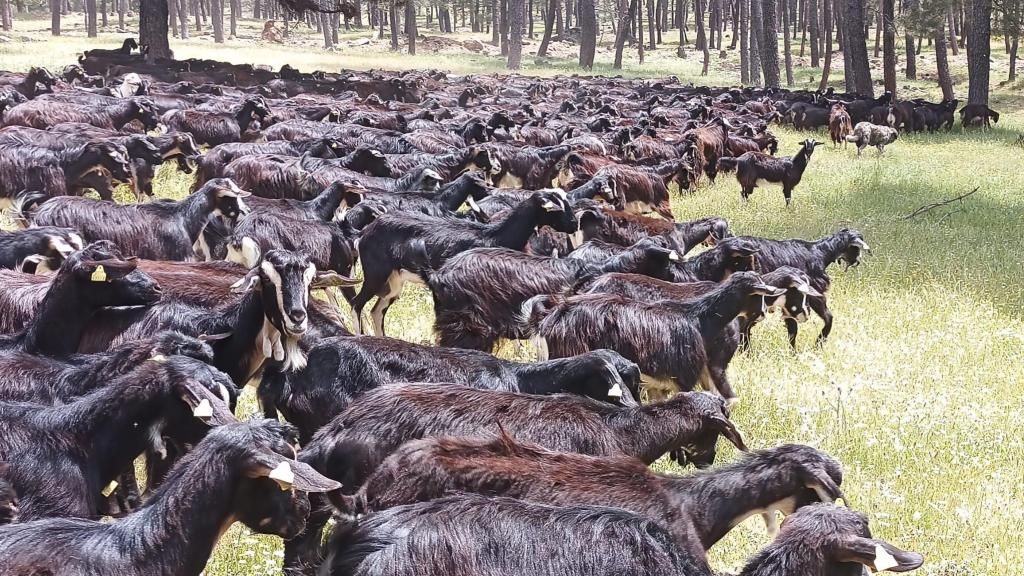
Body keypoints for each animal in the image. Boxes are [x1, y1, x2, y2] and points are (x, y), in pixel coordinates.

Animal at [351, 190, 577, 336]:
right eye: (556, 208)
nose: (574, 225)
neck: (491, 235)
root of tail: (364, 233)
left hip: (394, 281)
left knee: (376, 310)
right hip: (375, 274)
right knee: (357, 303)